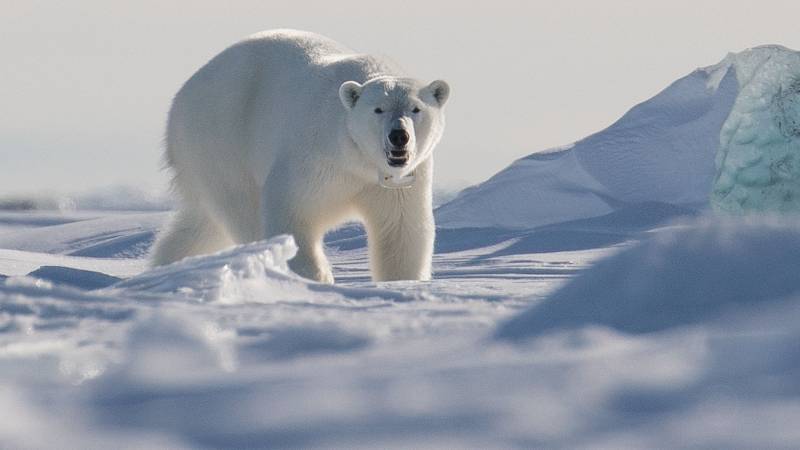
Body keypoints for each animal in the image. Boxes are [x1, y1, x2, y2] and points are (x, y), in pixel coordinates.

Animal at [150, 28, 450, 284]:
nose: (399, 136)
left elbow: (400, 232)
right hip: (220, 140)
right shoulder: (314, 158)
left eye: (416, 108)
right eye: (378, 109)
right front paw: (317, 277)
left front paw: (402, 282)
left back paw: (166, 265)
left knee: (200, 226)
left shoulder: (399, 181)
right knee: (242, 208)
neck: (357, 159)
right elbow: (291, 213)